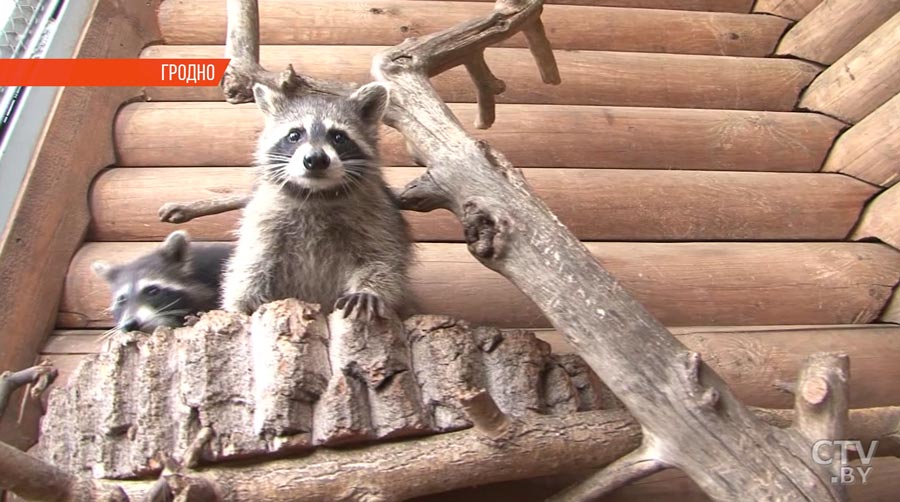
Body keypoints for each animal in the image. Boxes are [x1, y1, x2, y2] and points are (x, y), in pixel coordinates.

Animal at [221, 80, 412, 320]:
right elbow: (253, 264)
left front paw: (369, 290)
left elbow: (382, 259)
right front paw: (240, 304)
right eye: (294, 135)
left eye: (338, 137)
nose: (315, 159)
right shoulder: (263, 218)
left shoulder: (379, 215)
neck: (315, 194)